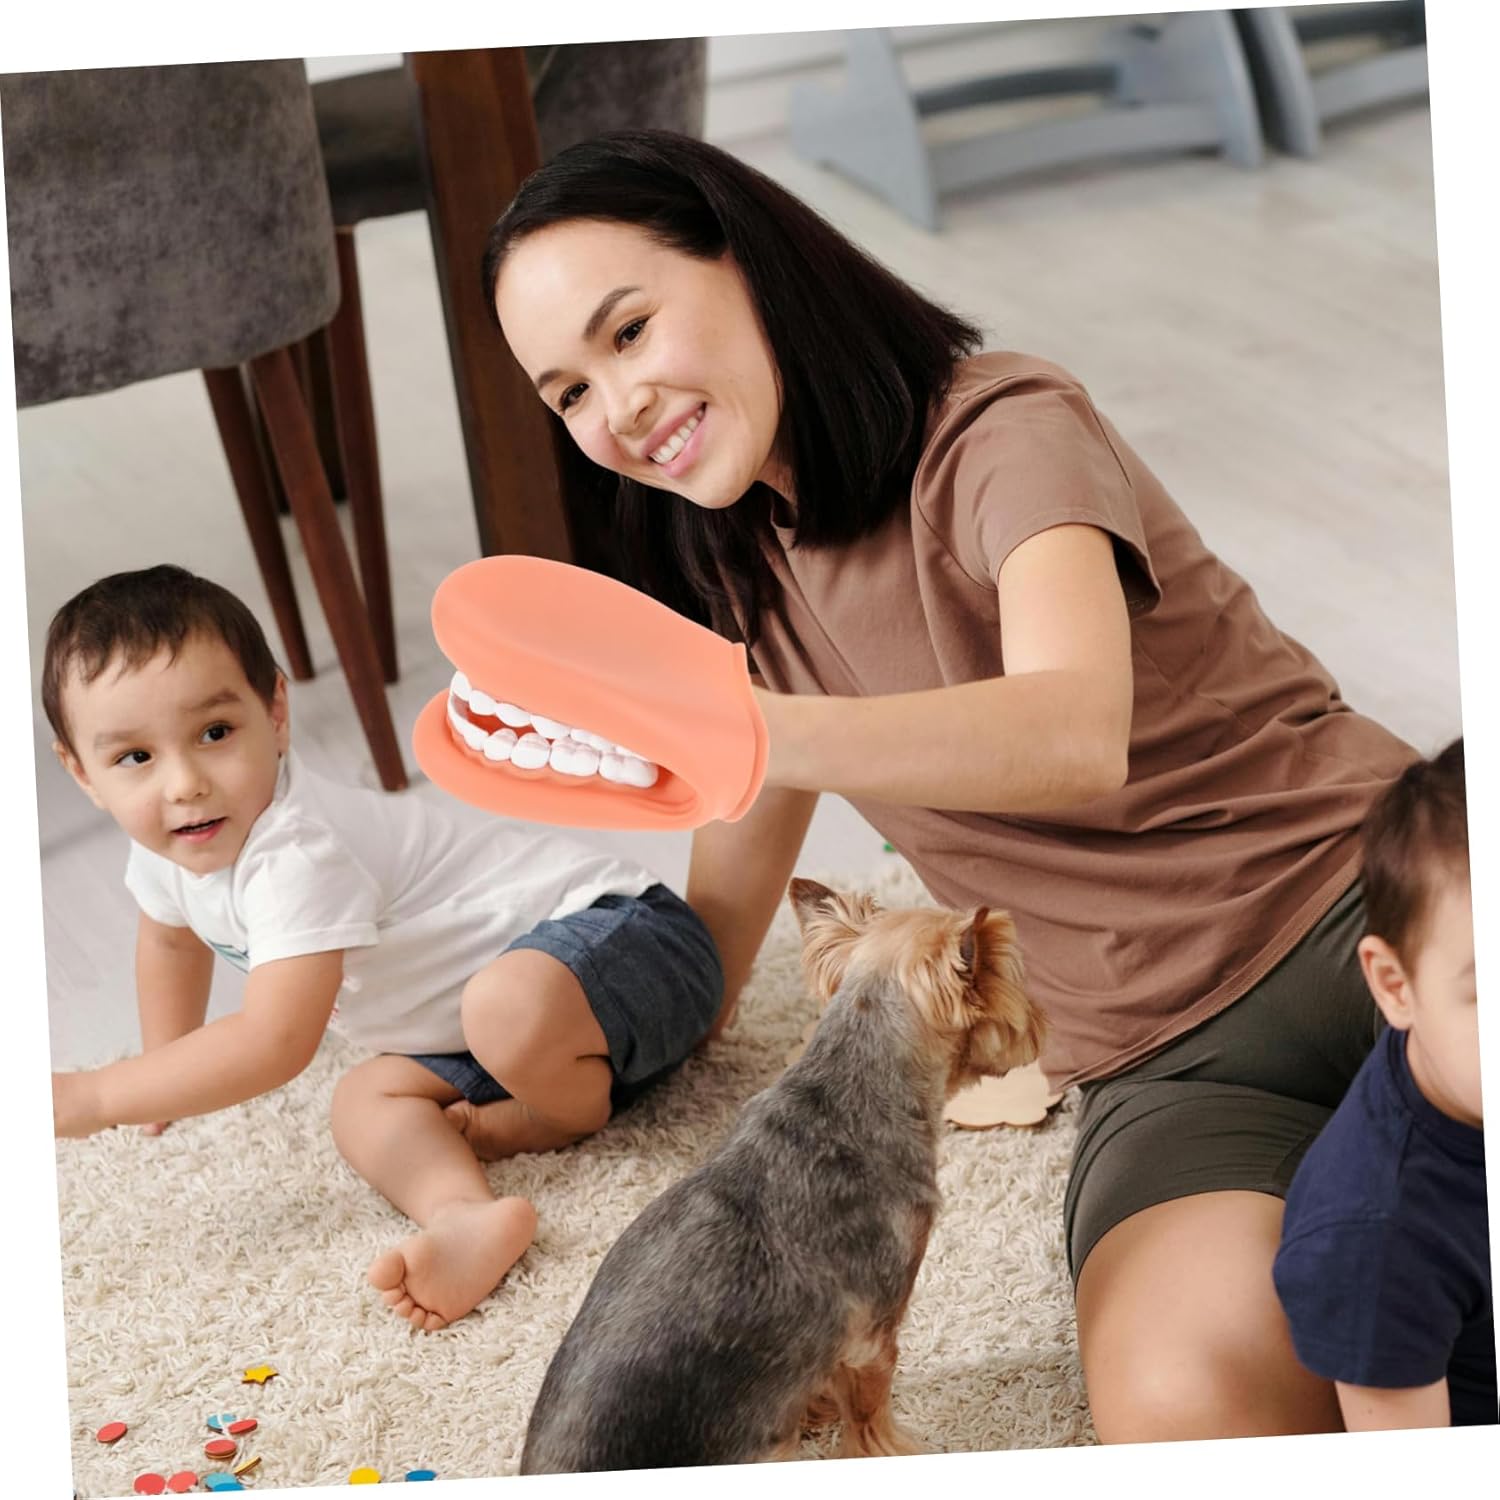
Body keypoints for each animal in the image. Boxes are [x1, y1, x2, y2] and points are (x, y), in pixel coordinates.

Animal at [519, 877, 1046, 1473]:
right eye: (1011, 975)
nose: (1041, 1024)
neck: (846, 1091)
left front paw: (817, 1408)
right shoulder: (875, 1330)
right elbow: (870, 1416)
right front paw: (895, 1447)